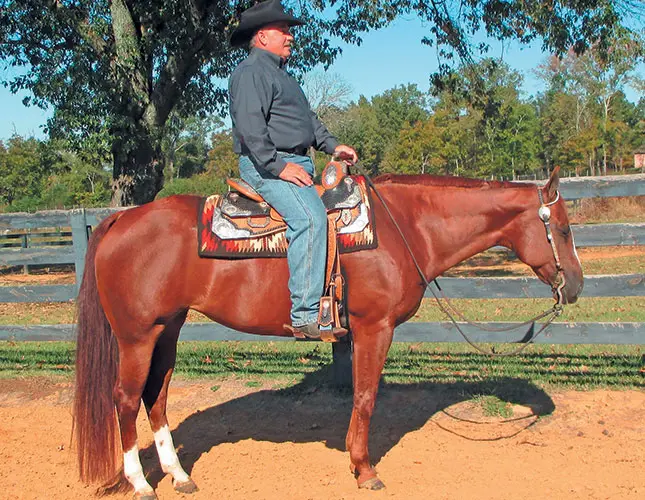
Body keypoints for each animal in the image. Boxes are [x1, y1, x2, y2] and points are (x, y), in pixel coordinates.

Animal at [73, 166, 583, 498]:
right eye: (562, 228)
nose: (576, 285)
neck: (404, 227)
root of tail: (123, 217)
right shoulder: (374, 327)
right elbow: (366, 396)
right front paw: (364, 469)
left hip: (168, 329)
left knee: (155, 396)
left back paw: (179, 476)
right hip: (137, 336)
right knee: (125, 398)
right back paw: (142, 483)